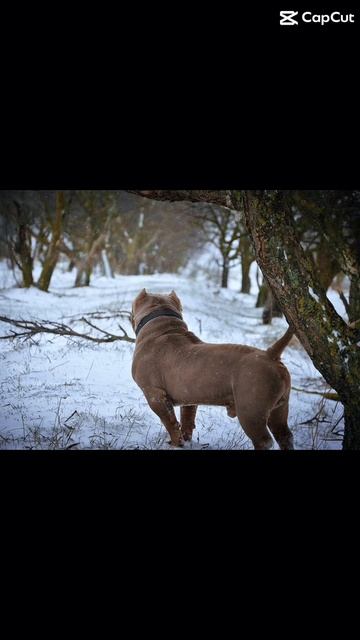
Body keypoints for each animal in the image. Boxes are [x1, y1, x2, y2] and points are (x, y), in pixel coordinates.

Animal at [131, 290, 294, 450]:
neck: (163, 325)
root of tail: (270, 354)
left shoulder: (154, 395)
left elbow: (170, 423)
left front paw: (177, 444)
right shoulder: (188, 399)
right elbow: (186, 421)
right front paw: (186, 441)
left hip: (251, 411)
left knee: (263, 441)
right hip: (279, 410)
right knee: (284, 435)